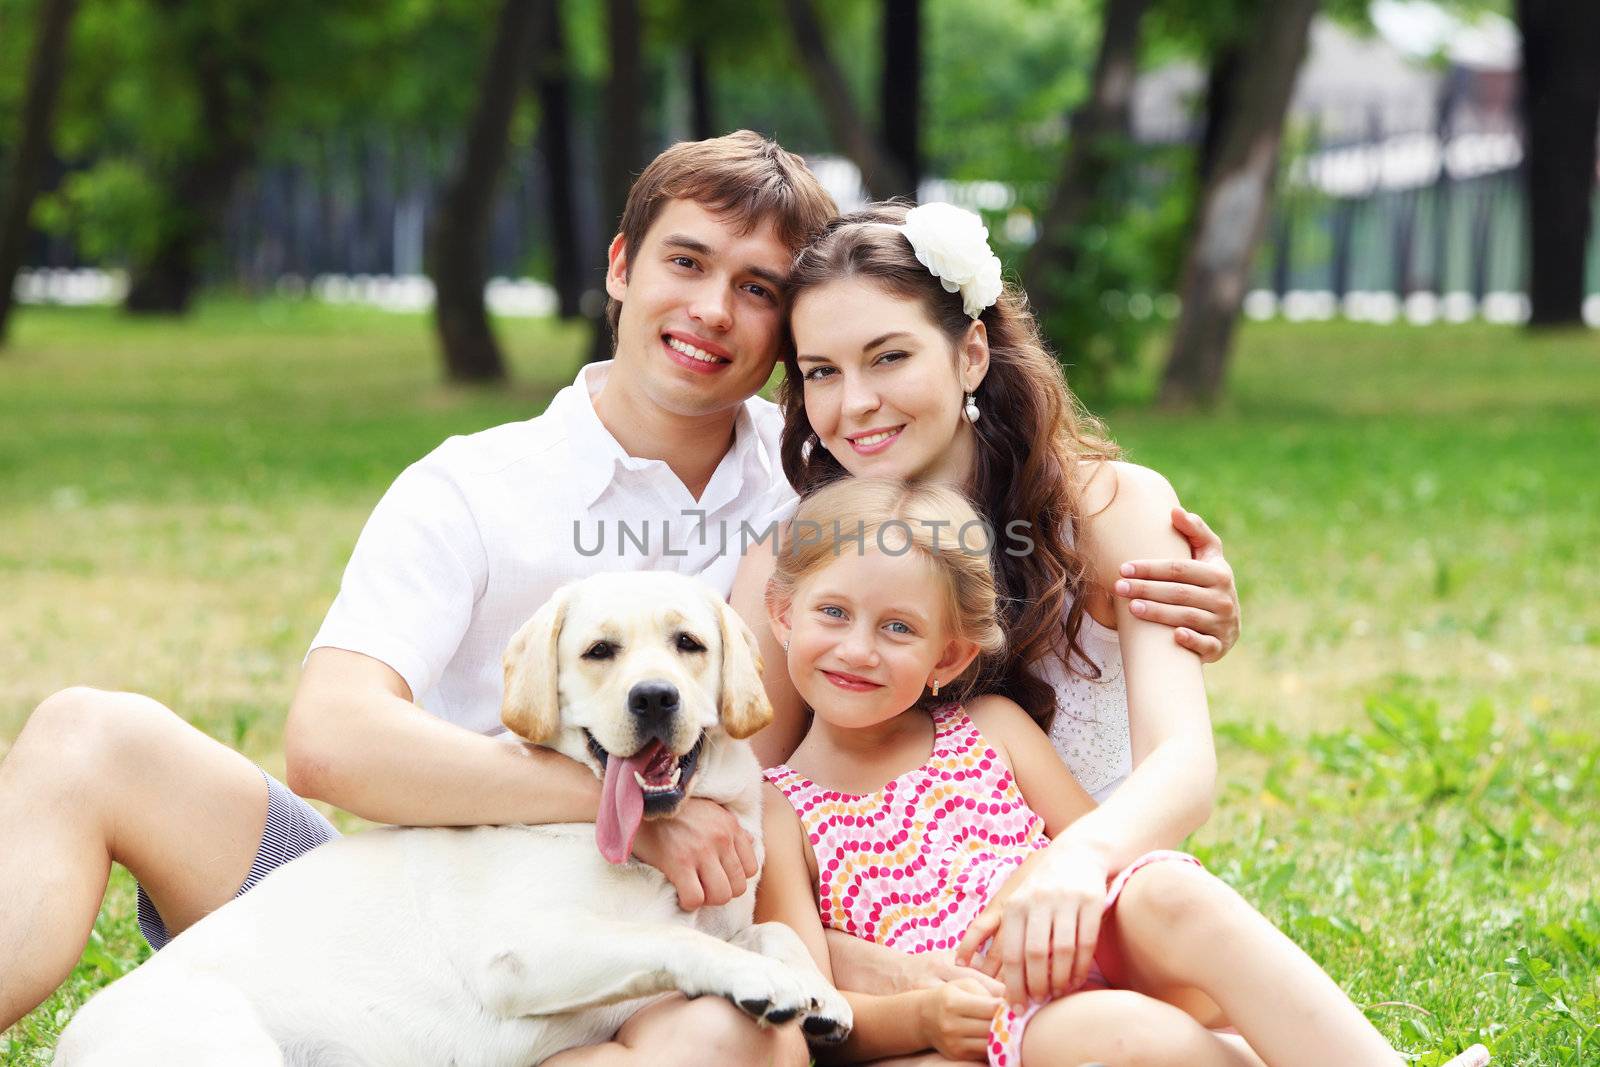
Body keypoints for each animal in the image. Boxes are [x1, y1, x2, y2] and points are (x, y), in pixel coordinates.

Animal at [53, 575, 851, 1067]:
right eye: (599, 651)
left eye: (689, 643)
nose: (653, 697)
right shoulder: (522, 952)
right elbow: (668, 938)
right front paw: (764, 980)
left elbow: (771, 932)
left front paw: (823, 995)